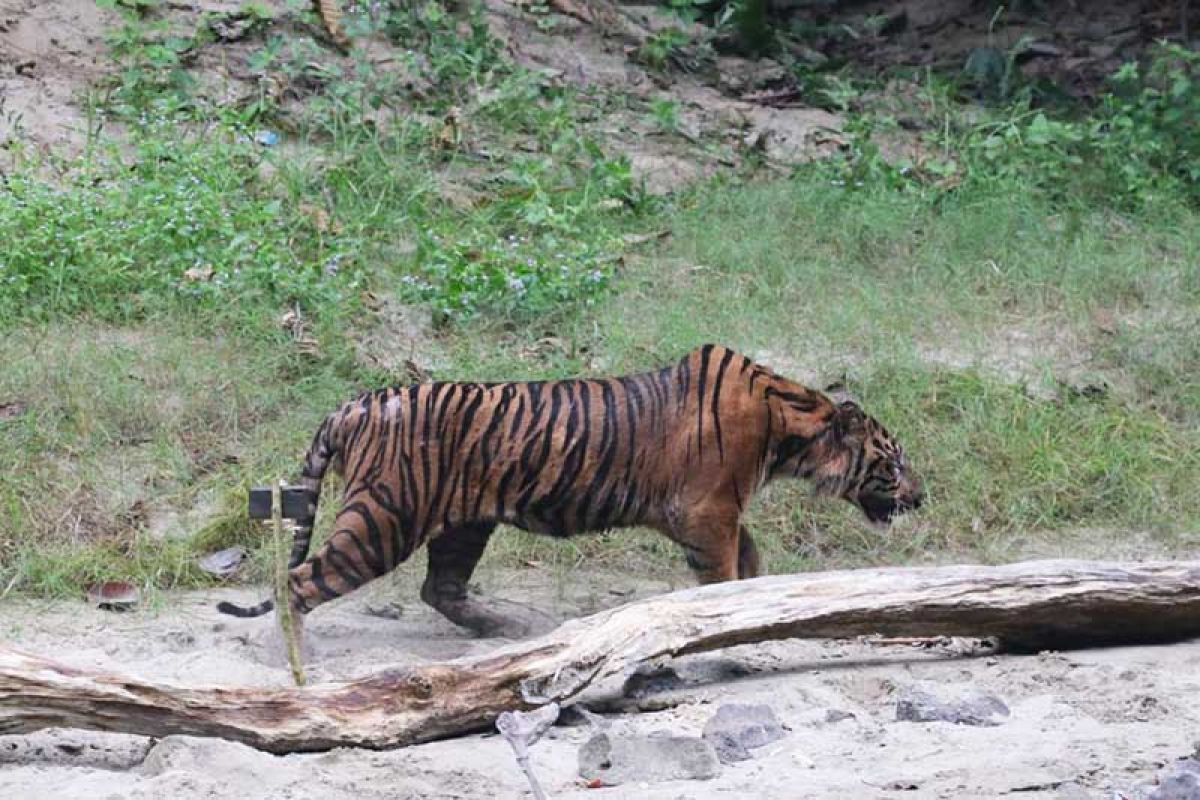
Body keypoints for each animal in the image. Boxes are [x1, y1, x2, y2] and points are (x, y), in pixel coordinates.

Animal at [220, 345, 921, 642]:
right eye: (895, 460)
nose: (921, 496)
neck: (788, 427)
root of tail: (354, 404)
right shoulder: (707, 512)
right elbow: (724, 571)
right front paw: (730, 612)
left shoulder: (719, 512)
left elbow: (749, 559)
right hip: (384, 517)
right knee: (302, 582)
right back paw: (296, 657)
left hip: (462, 523)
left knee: (438, 587)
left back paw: (503, 629)